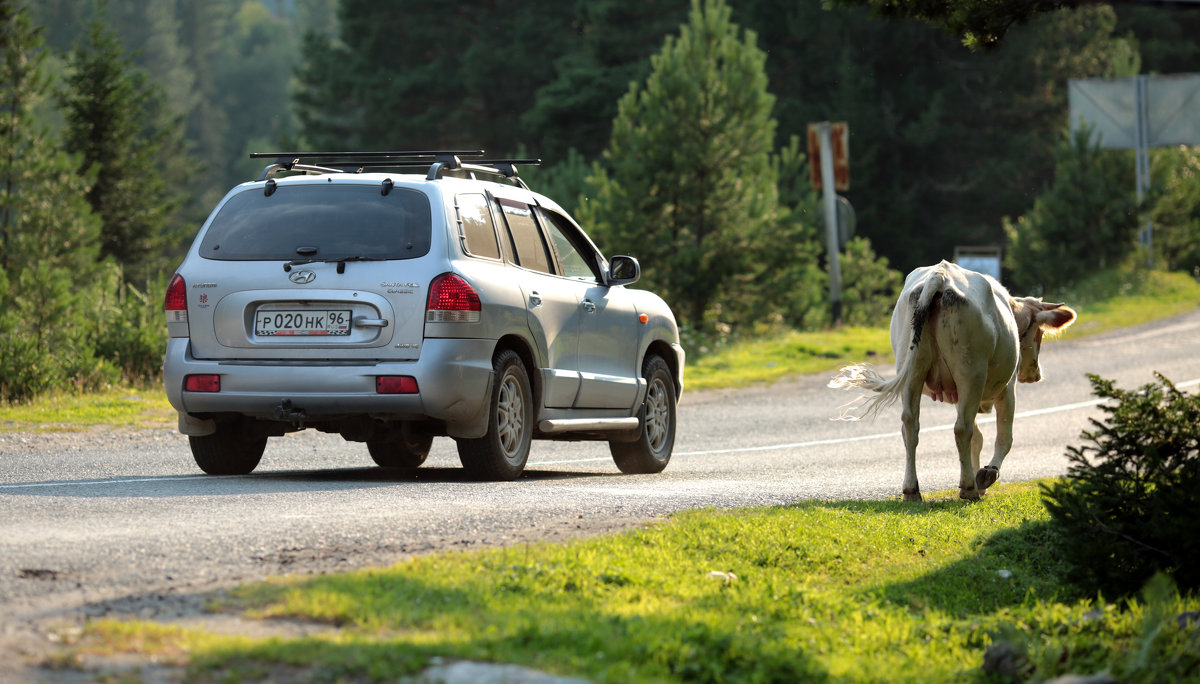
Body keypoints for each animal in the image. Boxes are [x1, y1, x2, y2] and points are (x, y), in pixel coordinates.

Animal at [830, 260, 1075, 501]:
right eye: (1039, 333)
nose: (1035, 374)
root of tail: (940, 275)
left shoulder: (958, 395)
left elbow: (978, 438)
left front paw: (980, 478)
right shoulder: (1007, 390)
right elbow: (1003, 437)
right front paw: (987, 475)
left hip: (913, 372)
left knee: (911, 426)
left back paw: (912, 490)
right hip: (971, 374)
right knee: (961, 429)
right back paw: (968, 489)